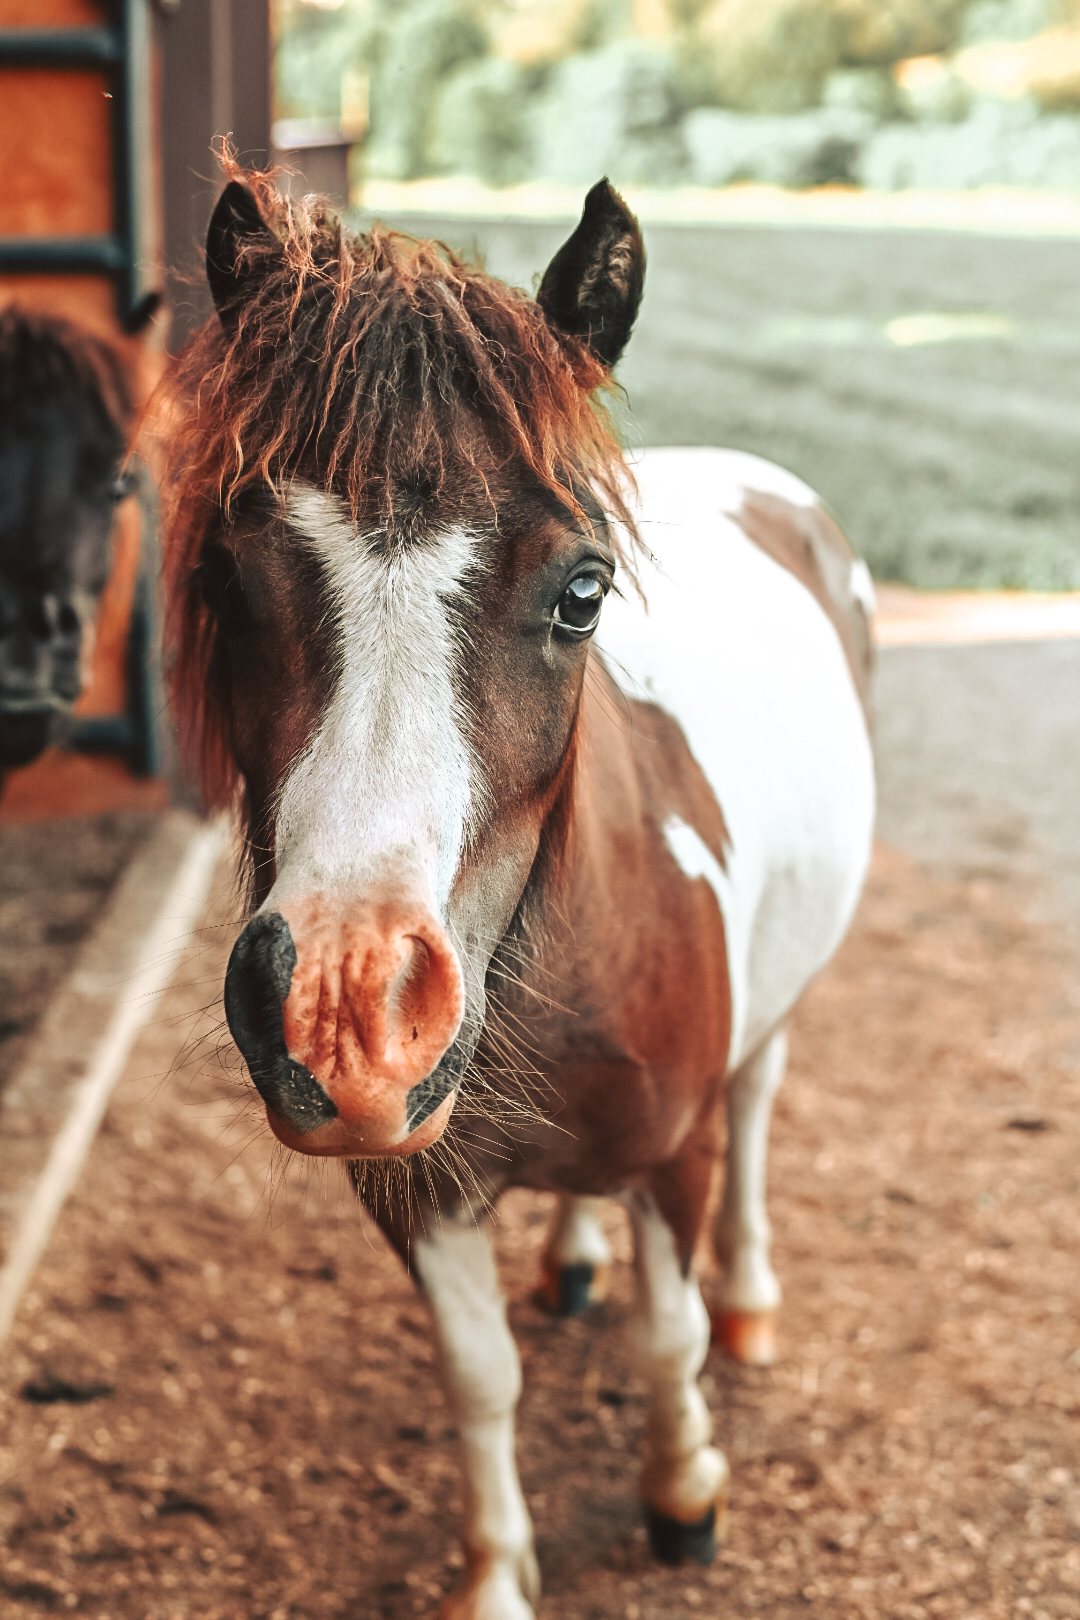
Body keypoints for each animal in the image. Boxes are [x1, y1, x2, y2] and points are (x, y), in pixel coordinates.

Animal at [162, 169, 875, 1619]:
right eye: (222, 577)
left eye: (583, 592)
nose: (349, 1017)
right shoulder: (416, 1193)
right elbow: (479, 1379)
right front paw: (496, 1573)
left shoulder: (679, 1150)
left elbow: (672, 1340)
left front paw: (684, 1492)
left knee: (760, 1116)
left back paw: (750, 1300)